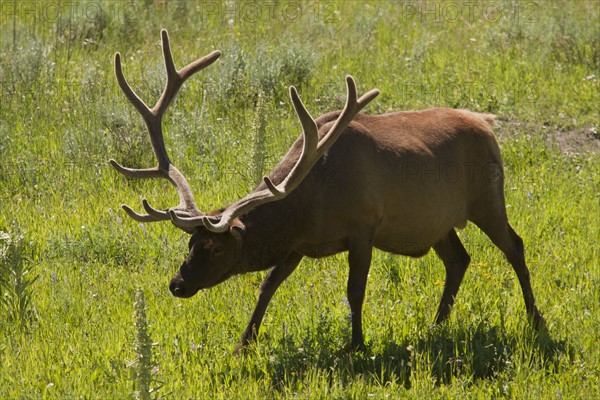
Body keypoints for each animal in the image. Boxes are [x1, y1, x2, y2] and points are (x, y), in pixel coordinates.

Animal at [110, 29, 548, 352]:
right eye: (189, 244)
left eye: (215, 248)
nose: (177, 284)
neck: (309, 204)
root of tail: (486, 123)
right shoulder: (297, 246)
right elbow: (267, 286)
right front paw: (243, 343)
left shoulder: (362, 228)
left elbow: (355, 291)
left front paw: (356, 344)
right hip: (438, 223)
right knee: (459, 259)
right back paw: (436, 325)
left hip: (488, 199)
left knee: (515, 246)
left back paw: (534, 318)